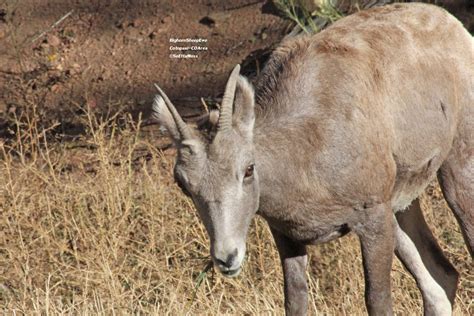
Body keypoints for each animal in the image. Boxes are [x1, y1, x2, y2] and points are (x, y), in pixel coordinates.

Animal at [154, 3, 472, 316]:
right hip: (403, 208)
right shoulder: (288, 238)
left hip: (456, 174)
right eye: (183, 184)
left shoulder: (374, 221)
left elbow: (377, 299)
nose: (227, 258)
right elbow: (296, 301)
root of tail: (452, 25)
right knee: (440, 280)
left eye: (248, 169)